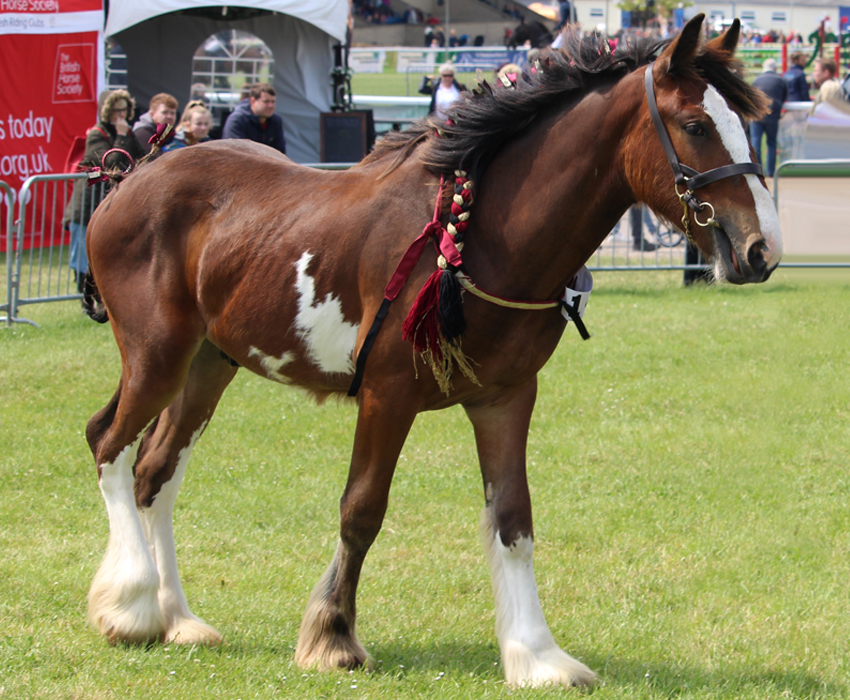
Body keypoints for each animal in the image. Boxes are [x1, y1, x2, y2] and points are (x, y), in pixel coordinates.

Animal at [83, 16, 780, 688]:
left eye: (746, 126)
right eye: (695, 125)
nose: (761, 249)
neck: (477, 236)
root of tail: (132, 175)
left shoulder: (506, 398)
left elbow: (513, 521)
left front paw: (535, 654)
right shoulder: (386, 397)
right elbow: (361, 511)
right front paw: (333, 637)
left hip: (207, 364)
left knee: (156, 470)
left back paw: (177, 616)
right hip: (157, 356)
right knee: (108, 443)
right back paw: (132, 604)